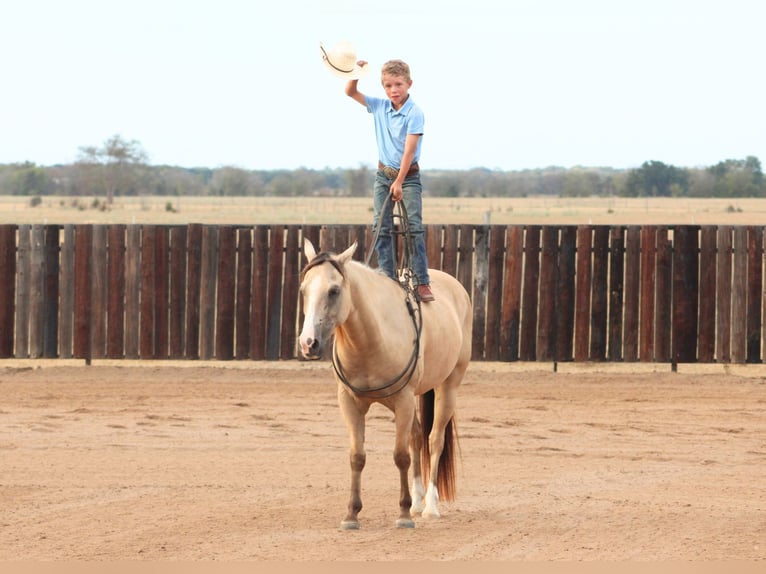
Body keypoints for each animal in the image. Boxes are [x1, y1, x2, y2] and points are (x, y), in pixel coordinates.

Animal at [298, 238, 473, 529]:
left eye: (334, 290)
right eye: (303, 290)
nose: (308, 343)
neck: (371, 338)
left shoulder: (403, 400)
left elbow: (400, 455)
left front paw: (402, 516)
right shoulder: (350, 402)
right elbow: (357, 456)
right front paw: (352, 514)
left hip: (448, 386)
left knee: (434, 439)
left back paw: (430, 506)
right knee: (417, 435)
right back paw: (416, 502)